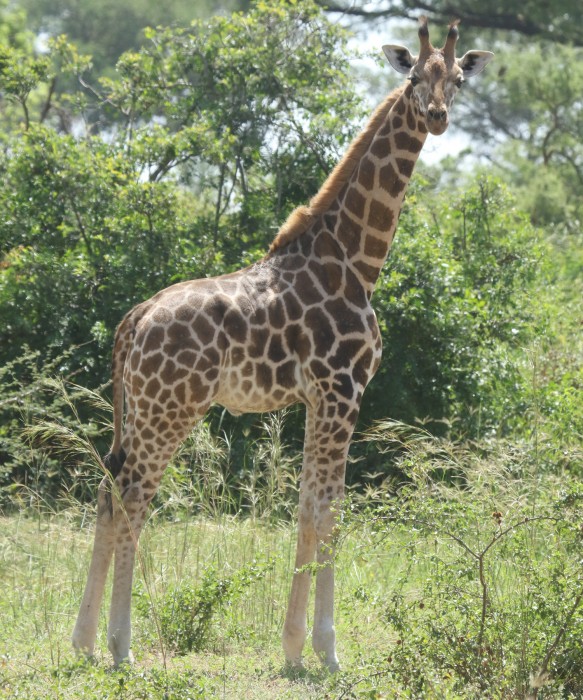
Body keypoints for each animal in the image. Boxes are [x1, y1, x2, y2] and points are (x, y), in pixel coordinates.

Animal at [72, 19, 492, 668]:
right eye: (414, 78)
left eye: (459, 79)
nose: (438, 115)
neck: (356, 262)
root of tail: (133, 321)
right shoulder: (343, 391)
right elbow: (331, 512)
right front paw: (325, 651)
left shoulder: (319, 399)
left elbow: (306, 508)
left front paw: (294, 649)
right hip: (173, 407)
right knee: (134, 496)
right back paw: (122, 647)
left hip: (137, 409)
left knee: (106, 490)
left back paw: (85, 642)